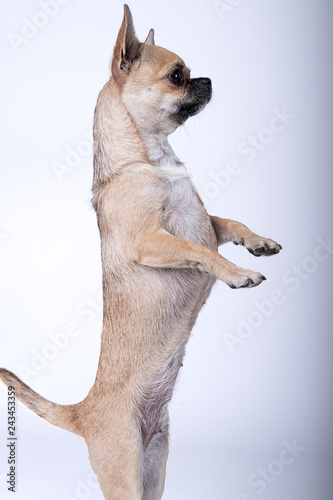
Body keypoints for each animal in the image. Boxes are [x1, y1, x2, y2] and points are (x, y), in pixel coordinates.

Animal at [0, 4, 280, 500]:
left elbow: (229, 224)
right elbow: (198, 249)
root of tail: (83, 410)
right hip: (125, 471)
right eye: (176, 76)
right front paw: (236, 272)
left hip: (156, 468)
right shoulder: (151, 240)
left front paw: (258, 243)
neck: (152, 159)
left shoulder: (206, 222)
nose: (208, 79)